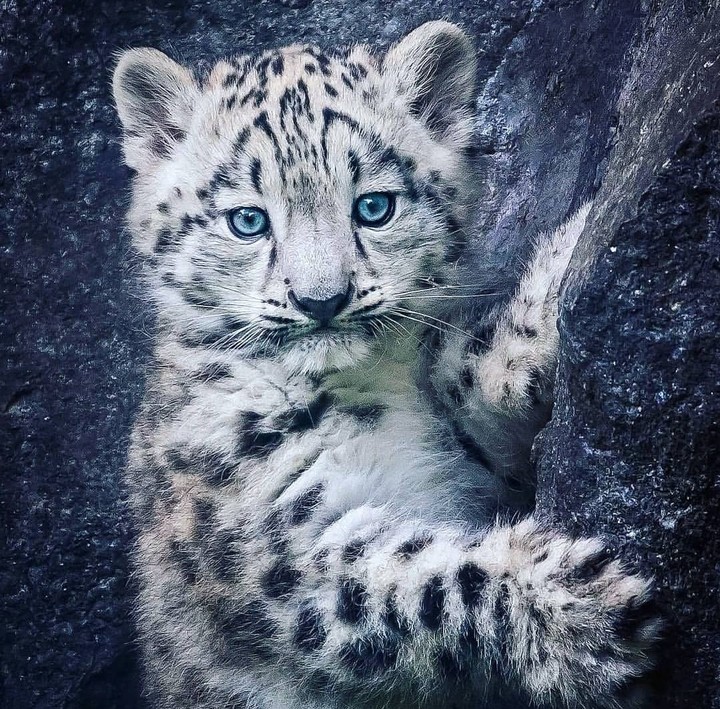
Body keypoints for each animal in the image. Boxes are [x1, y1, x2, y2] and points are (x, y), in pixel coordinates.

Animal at [112, 21, 660, 709]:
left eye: (374, 207)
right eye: (248, 220)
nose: (321, 300)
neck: (364, 395)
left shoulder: (476, 462)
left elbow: (470, 372)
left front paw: (564, 262)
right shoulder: (276, 559)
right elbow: (418, 586)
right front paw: (578, 611)